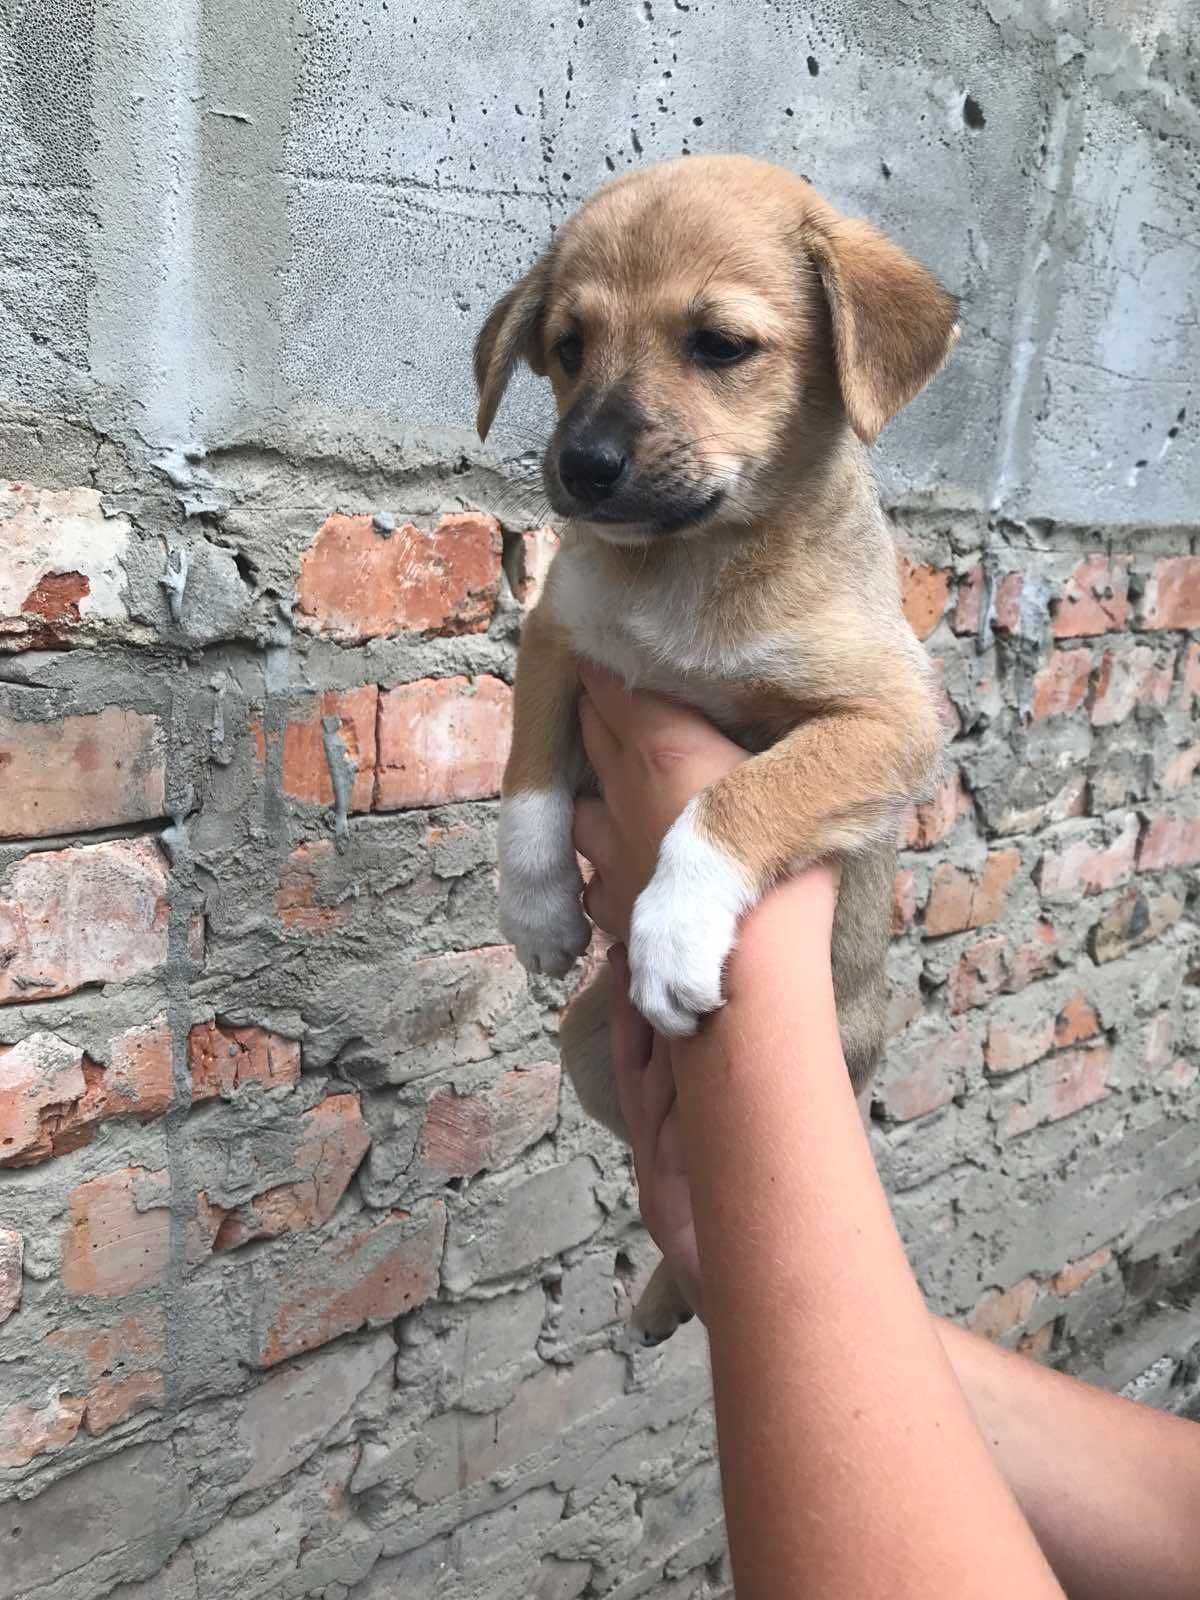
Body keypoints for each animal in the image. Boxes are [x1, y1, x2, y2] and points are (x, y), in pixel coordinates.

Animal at [476, 156, 960, 1344]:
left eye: (721, 345)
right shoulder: (559, 634)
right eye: (567, 346)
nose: (583, 465)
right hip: (587, 1046)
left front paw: (675, 929)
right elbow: (527, 778)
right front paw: (537, 906)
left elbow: (741, 798)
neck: (687, 567)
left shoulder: (890, 719)